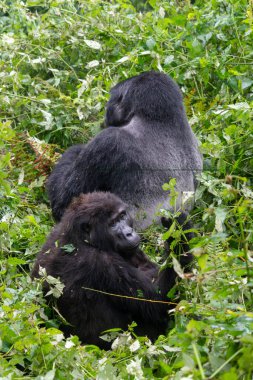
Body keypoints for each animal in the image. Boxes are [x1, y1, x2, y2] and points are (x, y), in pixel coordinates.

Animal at [32, 191, 194, 348]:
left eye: (122, 216)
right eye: (113, 223)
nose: (129, 233)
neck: (82, 238)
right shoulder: (99, 262)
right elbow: (158, 299)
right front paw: (180, 229)